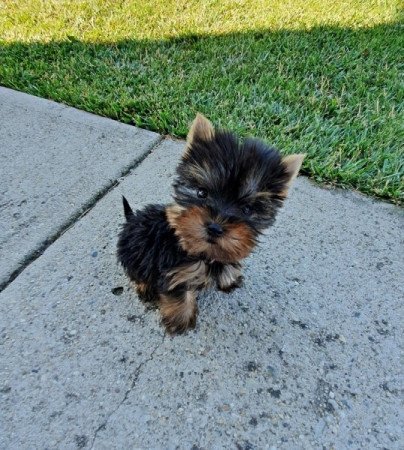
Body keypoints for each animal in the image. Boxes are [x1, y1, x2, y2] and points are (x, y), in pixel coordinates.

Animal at [116, 114, 304, 336]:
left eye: (246, 209)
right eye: (201, 193)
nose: (215, 228)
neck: (204, 252)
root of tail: (131, 220)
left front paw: (229, 278)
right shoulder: (176, 272)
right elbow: (180, 295)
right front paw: (180, 322)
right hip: (134, 250)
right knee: (136, 270)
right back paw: (144, 287)